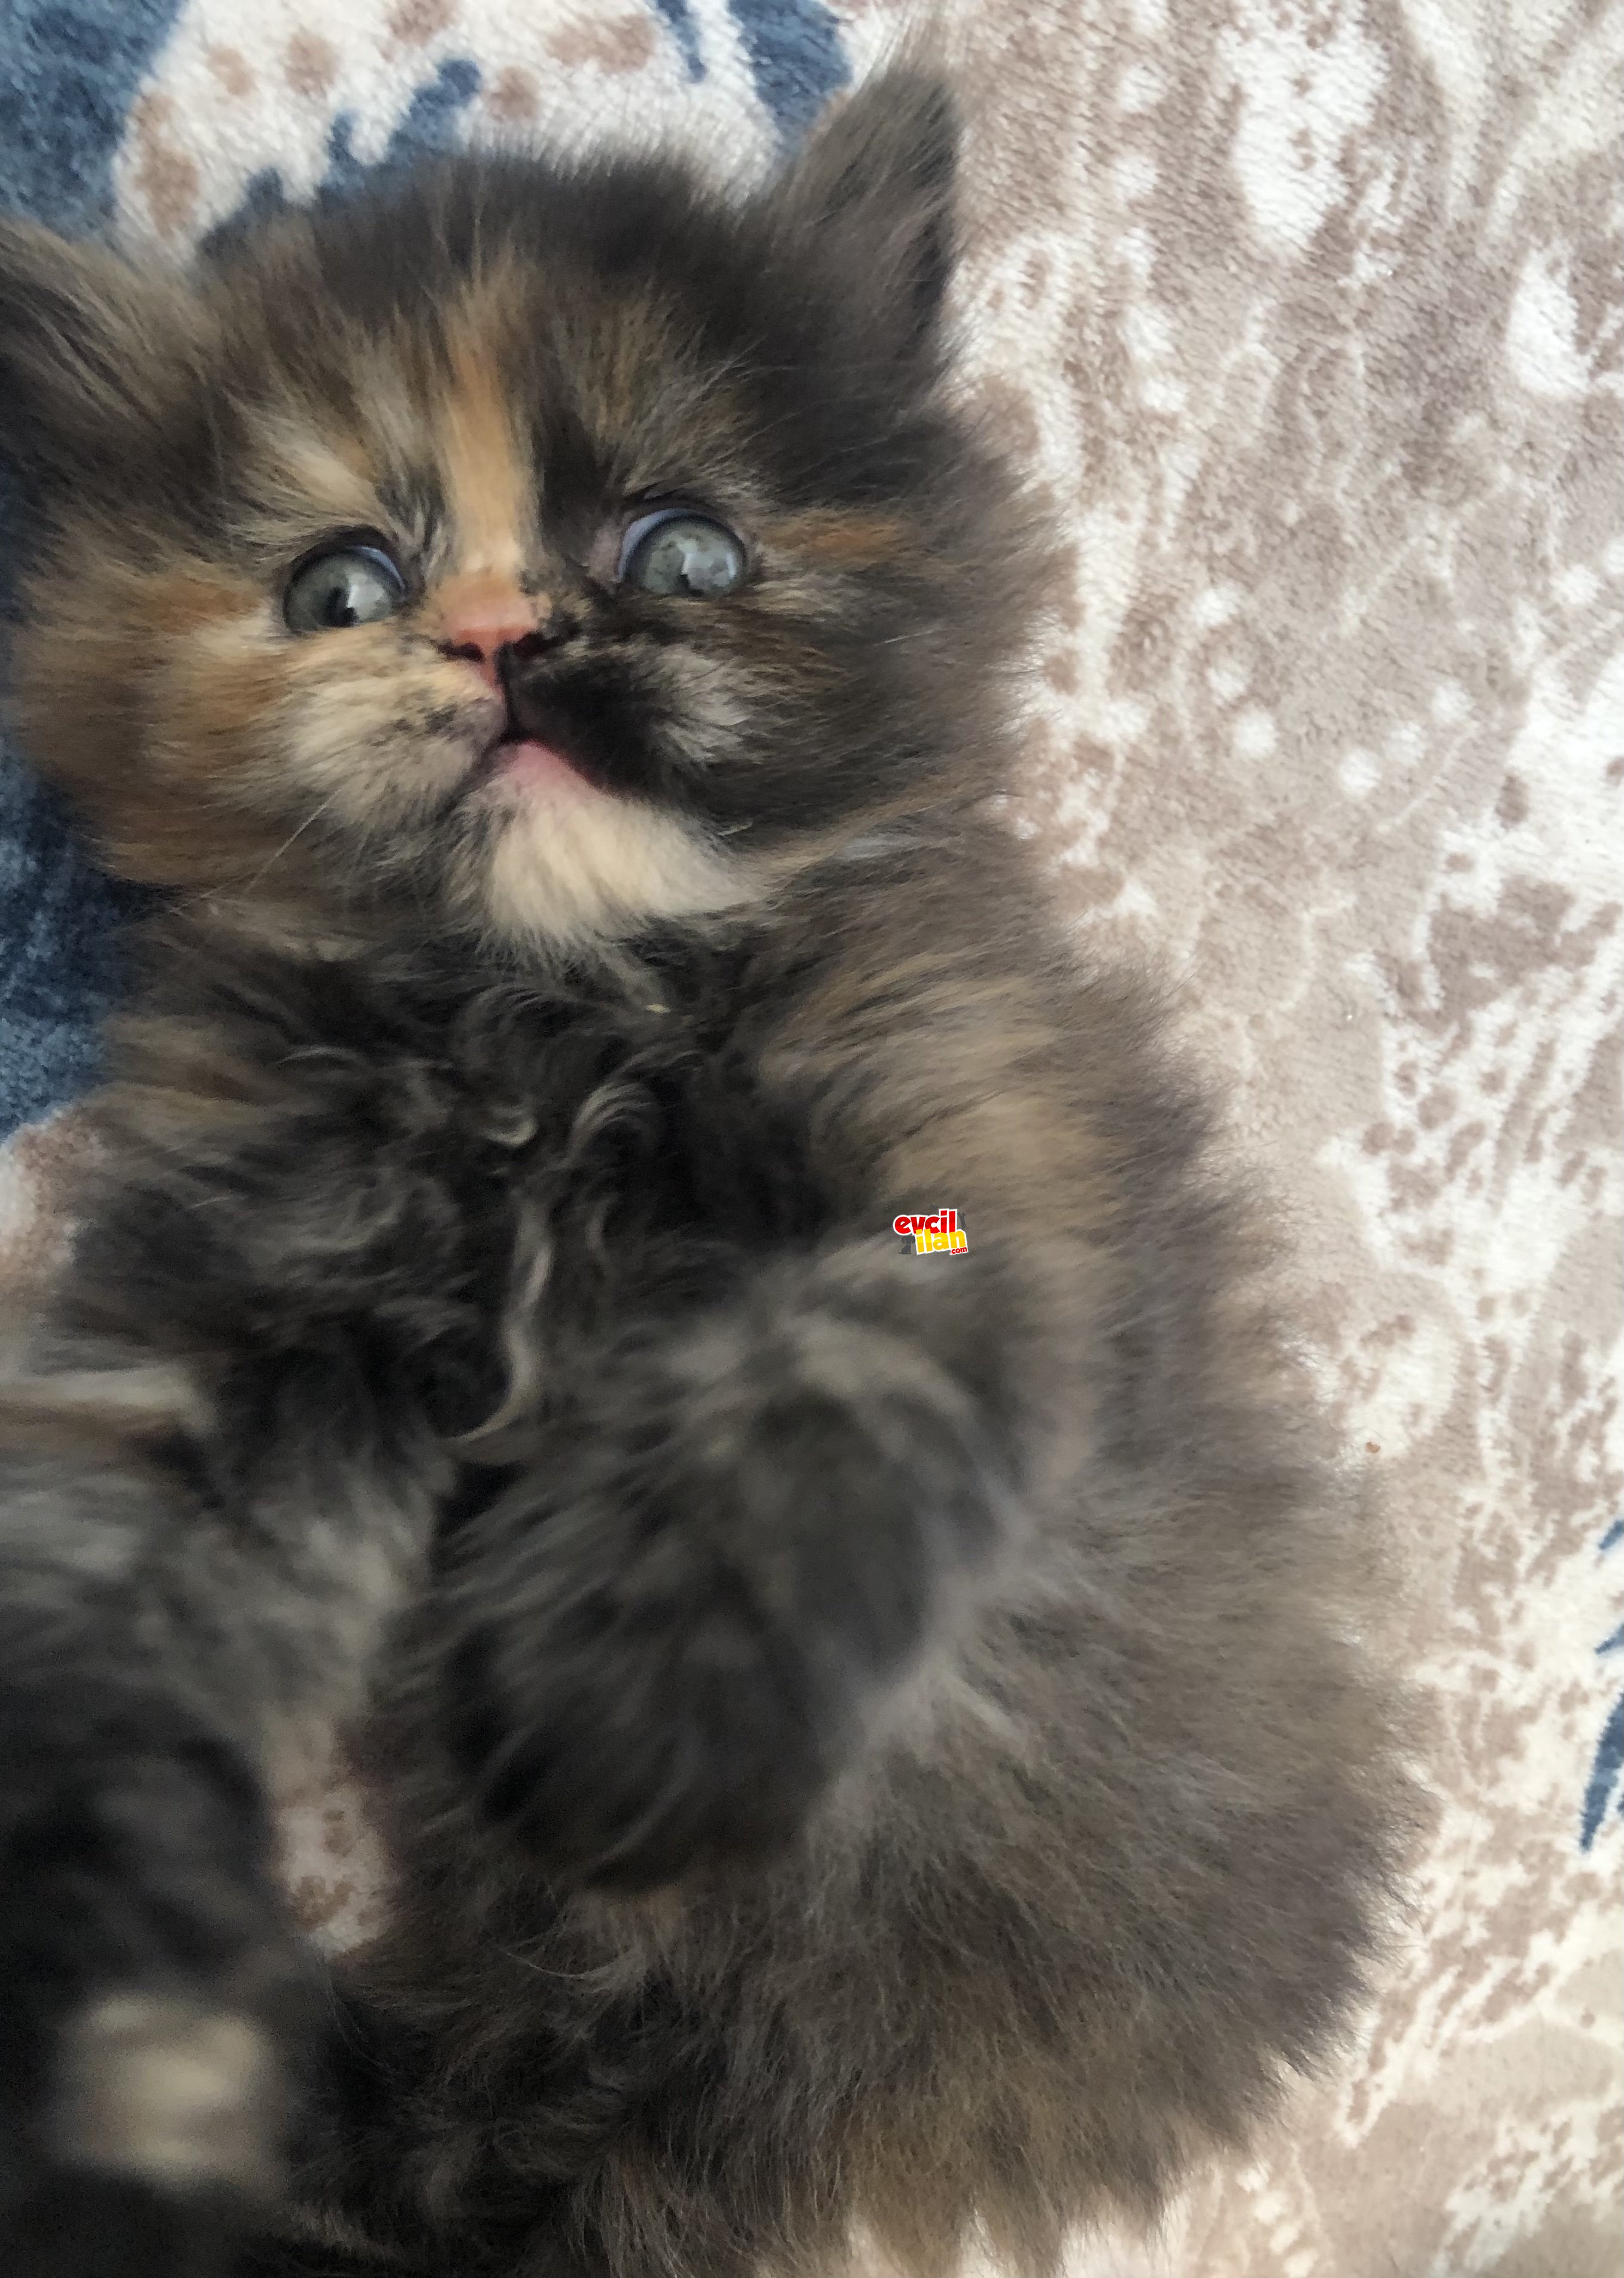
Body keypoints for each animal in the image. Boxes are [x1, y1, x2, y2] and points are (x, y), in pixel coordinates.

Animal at [0, 71, 1403, 2278]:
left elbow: (801, 1434)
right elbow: (104, 1571)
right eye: (340, 585)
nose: (504, 639)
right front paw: (88, 1924)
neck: (554, 1016)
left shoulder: (961, 1150)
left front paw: (627, 1728)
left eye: (683, 546)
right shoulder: (244, 1288)